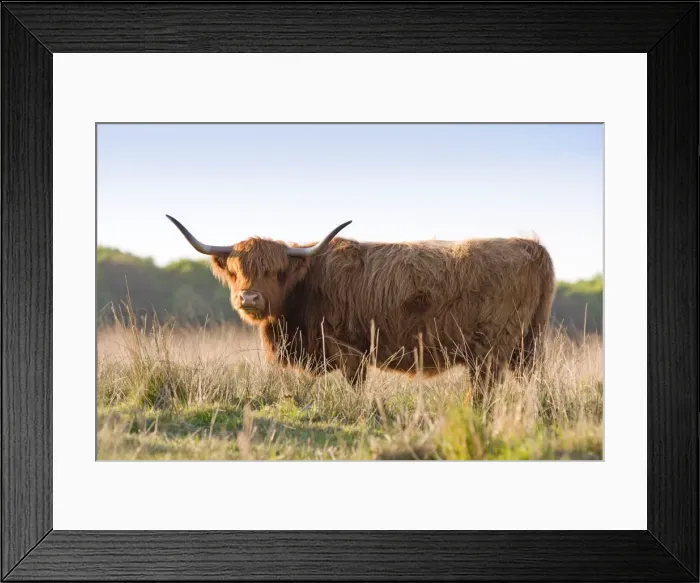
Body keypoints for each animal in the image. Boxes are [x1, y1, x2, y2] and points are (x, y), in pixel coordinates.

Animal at [166, 215, 556, 391]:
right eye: (236, 271)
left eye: (277, 272)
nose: (249, 297)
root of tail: (531, 246)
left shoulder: (349, 351)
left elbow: (355, 388)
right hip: (527, 348)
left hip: (490, 352)